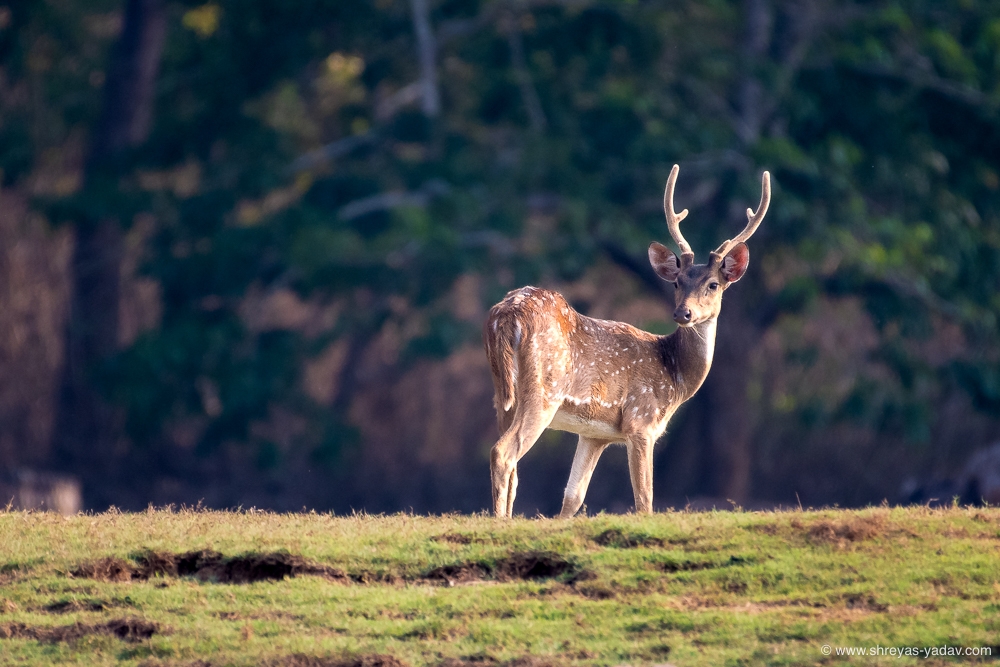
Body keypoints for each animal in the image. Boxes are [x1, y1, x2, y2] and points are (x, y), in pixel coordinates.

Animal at [480, 164, 768, 520]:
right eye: (677, 282)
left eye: (713, 284)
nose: (683, 313)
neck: (675, 376)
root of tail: (506, 315)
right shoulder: (641, 420)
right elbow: (645, 500)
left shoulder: (594, 434)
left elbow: (573, 497)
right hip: (544, 390)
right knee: (503, 453)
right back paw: (499, 520)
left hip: (502, 396)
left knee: (514, 465)